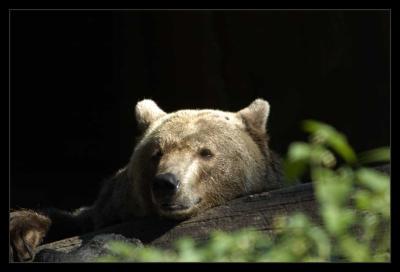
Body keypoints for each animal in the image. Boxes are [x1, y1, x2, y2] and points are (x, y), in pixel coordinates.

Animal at [10, 98, 284, 262]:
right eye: (157, 152)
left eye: (206, 152)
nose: (166, 182)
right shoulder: (110, 207)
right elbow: (73, 219)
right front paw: (22, 234)